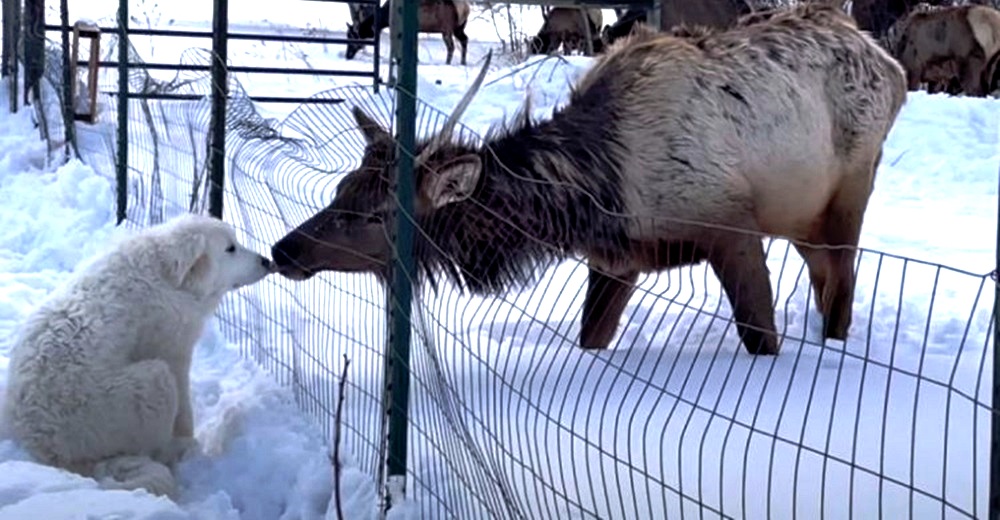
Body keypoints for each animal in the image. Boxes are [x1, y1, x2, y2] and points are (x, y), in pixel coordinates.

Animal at [0, 213, 274, 498]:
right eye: (230, 248)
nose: (267, 261)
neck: (168, 279)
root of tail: (50, 452)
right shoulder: (173, 354)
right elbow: (185, 414)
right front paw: (190, 441)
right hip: (154, 380)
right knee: (155, 448)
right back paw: (179, 452)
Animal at [342, 0, 470, 65]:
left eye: (352, 37)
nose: (347, 55)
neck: (385, 18)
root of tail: (466, 8)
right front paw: (416, 60)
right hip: (459, 28)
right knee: (465, 39)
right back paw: (463, 62)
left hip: (447, 29)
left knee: (451, 47)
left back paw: (447, 63)